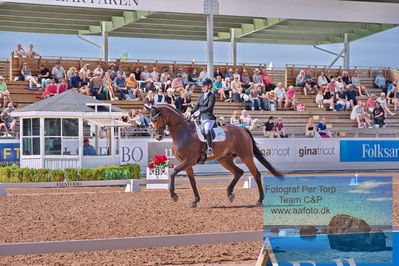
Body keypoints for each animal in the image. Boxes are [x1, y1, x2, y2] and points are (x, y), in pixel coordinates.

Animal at [145, 104, 282, 208]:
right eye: (150, 120)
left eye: (156, 119)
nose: (158, 136)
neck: (182, 131)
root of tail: (243, 129)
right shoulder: (187, 163)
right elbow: (192, 181)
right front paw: (195, 201)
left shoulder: (189, 160)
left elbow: (173, 172)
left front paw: (174, 195)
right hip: (224, 159)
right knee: (238, 172)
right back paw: (230, 194)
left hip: (246, 156)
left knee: (256, 174)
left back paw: (259, 200)